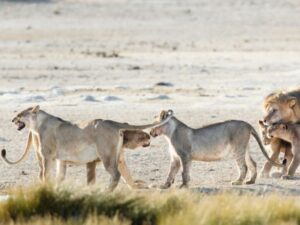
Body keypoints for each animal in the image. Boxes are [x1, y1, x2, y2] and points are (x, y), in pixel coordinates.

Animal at [1, 106, 172, 191]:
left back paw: (107, 192)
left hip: (106, 156)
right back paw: (135, 188)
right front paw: (55, 189)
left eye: (20, 114)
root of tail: (112, 123)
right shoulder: (61, 159)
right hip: (116, 157)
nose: (12, 119)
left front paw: (44, 188)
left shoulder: (46, 156)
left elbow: (44, 174)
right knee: (124, 174)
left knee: (115, 174)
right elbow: (59, 176)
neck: (37, 125)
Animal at [150, 110, 284, 187]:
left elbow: (184, 172)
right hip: (244, 148)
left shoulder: (185, 156)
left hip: (238, 148)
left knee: (244, 166)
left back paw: (238, 182)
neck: (168, 134)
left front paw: (183, 185)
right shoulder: (175, 158)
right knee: (252, 163)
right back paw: (250, 181)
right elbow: (171, 172)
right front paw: (165, 185)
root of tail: (247, 124)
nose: (150, 132)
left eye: (154, 124)